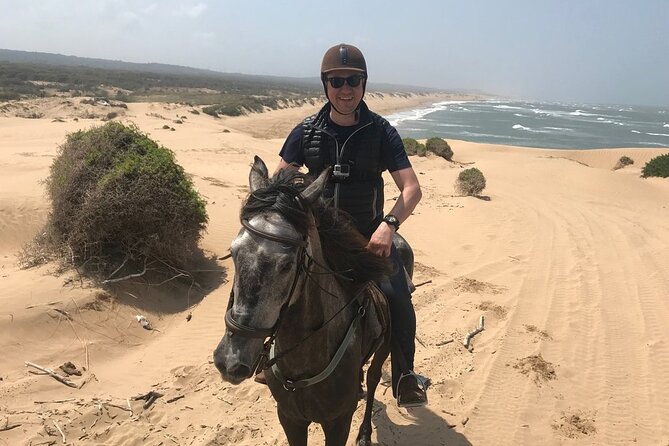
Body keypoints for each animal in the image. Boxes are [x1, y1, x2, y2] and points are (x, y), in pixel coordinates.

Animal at [213, 156, 413, 446]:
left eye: (287, 265)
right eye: (233, 251)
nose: (230, 360)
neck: (303, 365)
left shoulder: (338, 422)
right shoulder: (289, 417)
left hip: (384, 348)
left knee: (374, 378)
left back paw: (367, 430)